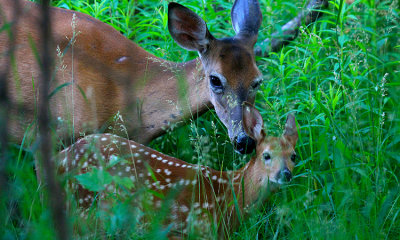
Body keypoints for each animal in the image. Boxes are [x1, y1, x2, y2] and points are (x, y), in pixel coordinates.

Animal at [57, 103, 298, 238]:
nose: (285, 174)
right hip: (85, 208)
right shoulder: (190, 229)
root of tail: (61, 157)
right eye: (266, 155)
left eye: (293, 156)